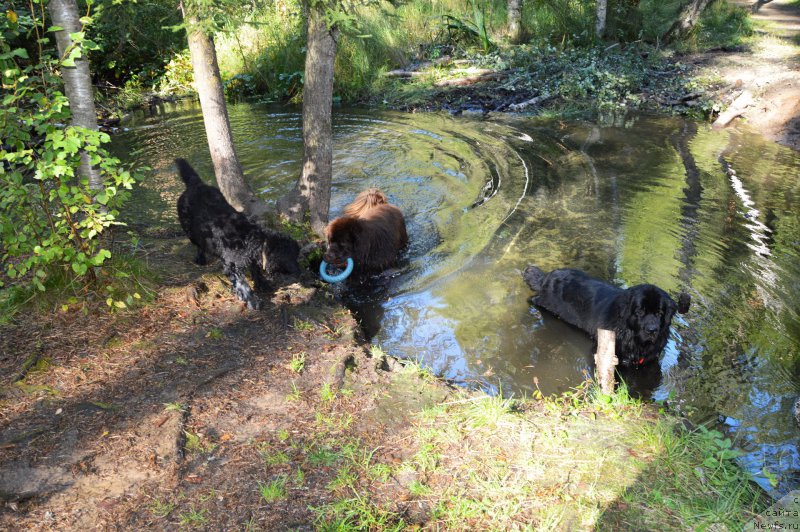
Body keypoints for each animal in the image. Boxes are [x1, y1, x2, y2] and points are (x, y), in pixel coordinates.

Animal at [175, 158, 300, 310]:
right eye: (292, 257)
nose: (300, 272)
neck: (250, 239)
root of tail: (196, 183)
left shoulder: (252, 259)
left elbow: (256, 270)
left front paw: (263, 284)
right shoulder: (232, 266)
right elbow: (243, 285)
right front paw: (252, 301)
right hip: (190, 230)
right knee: (198, 244)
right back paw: (200, 258)